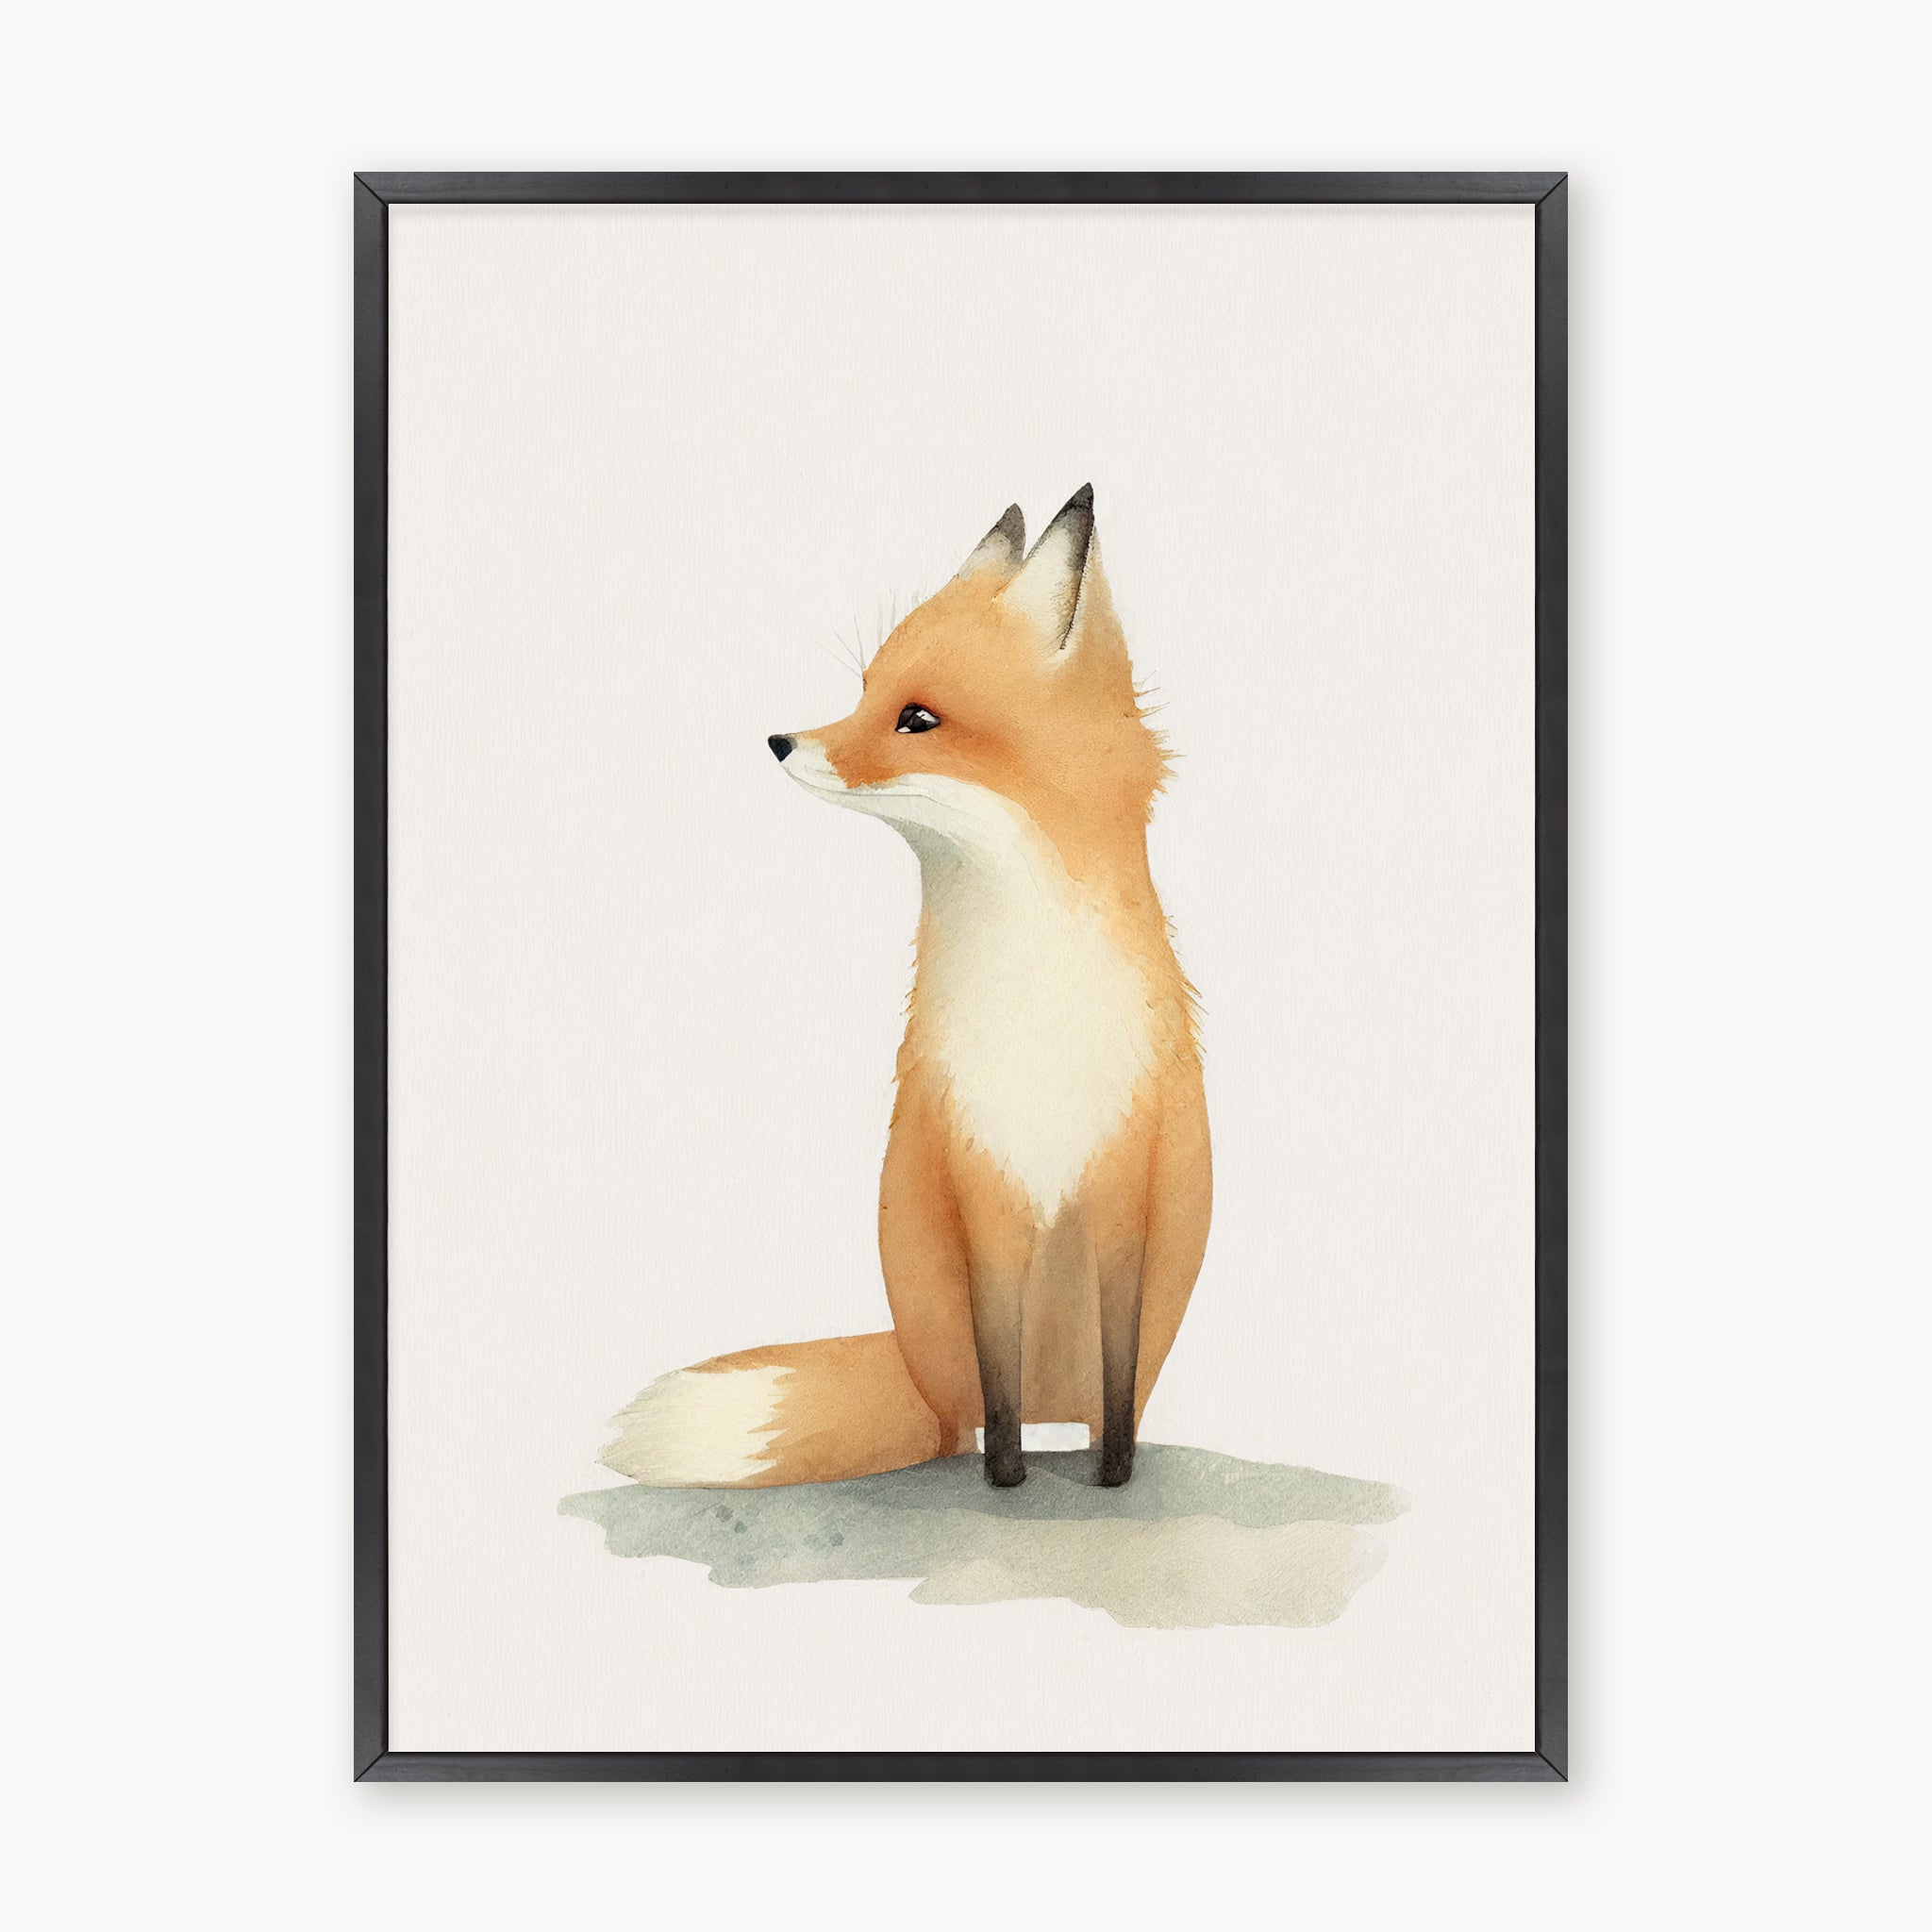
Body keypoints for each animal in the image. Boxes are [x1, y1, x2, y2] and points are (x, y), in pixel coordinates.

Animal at [602, 485, 1210, 1489]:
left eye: (915, 719)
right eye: (863, 690)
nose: (779, 740)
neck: (1034, 1003)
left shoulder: (1124, 1188)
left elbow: (1119, 1377)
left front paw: (1115, 1475)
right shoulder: (983, 1189)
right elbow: (999, 1377)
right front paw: (1007, 1481)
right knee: (963, 1415)